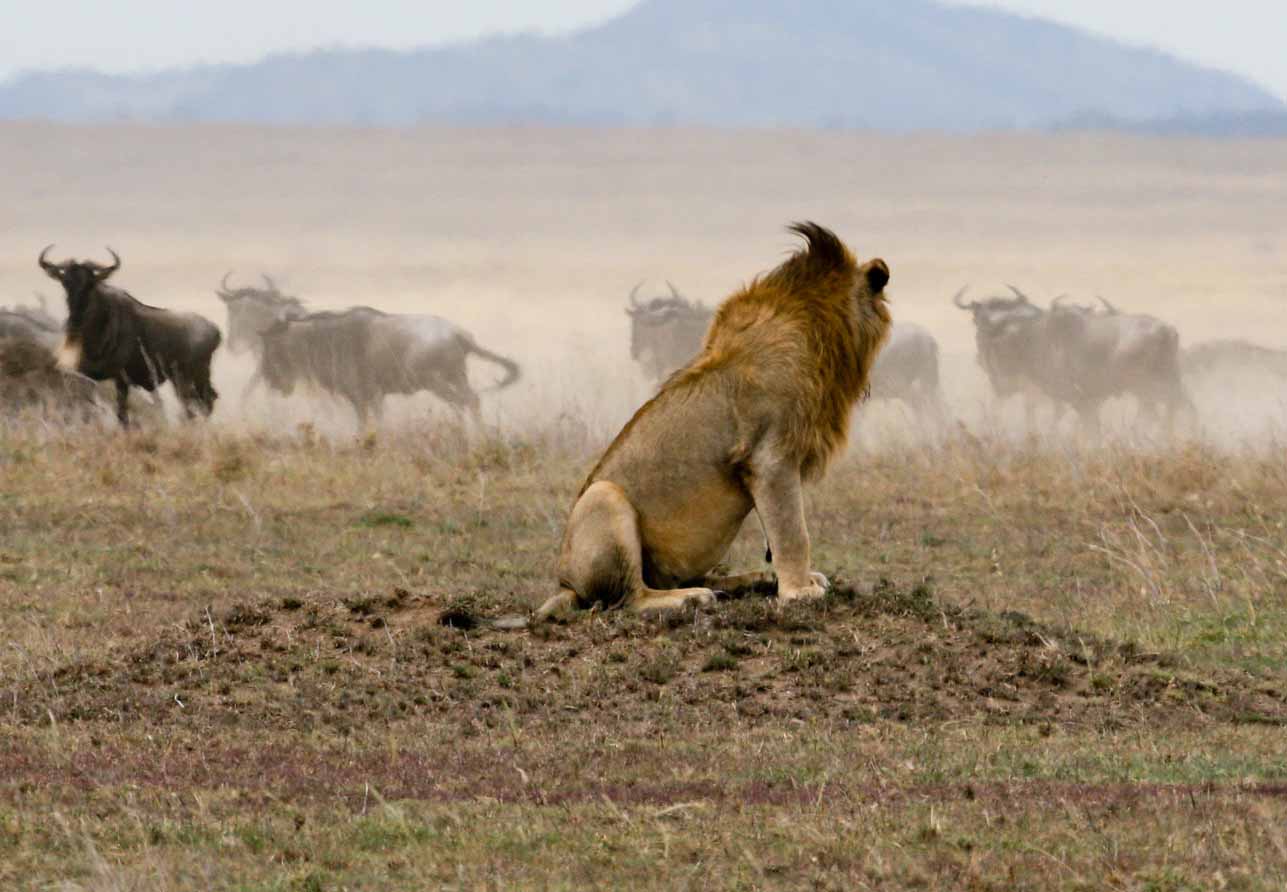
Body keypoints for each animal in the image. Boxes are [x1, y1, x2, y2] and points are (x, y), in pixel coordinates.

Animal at [536, 222, 891, 619]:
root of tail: (565, 584)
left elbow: (779, 534)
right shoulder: (771, 458)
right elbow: (792, 531)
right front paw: (799, 592)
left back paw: (749, 580)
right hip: (603, 496)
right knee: (630, 597)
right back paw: (693, 597)